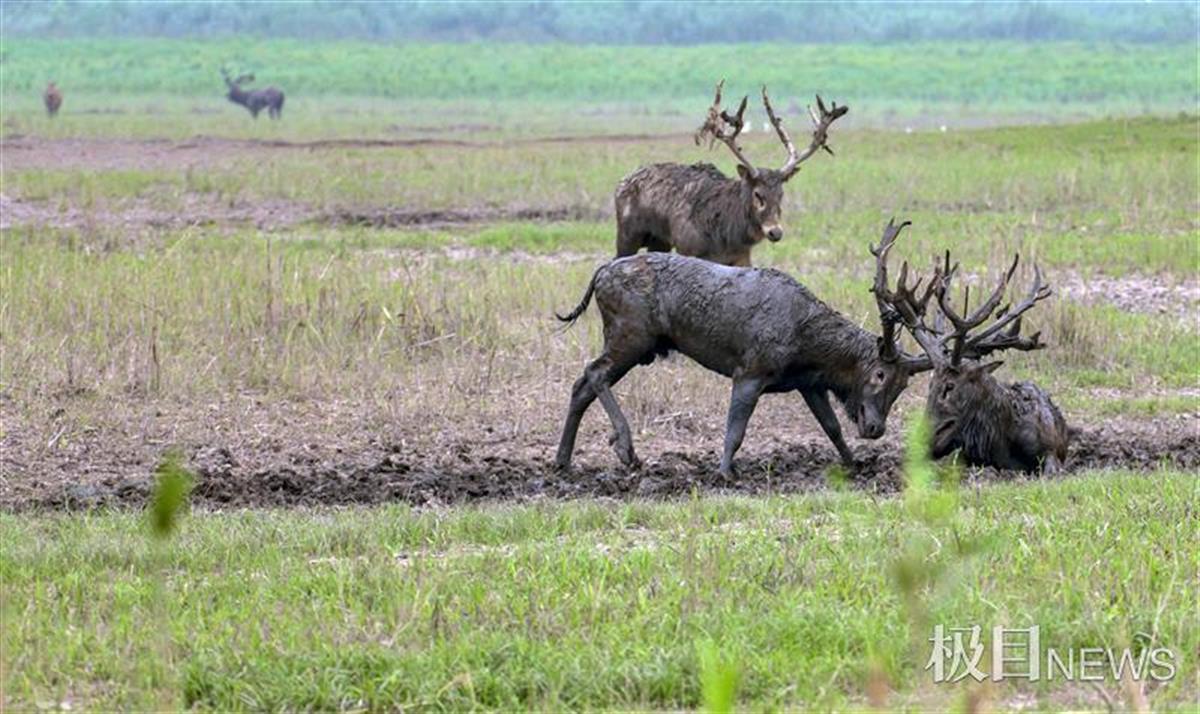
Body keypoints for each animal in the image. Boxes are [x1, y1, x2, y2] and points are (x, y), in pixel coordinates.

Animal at [552, 220, 936, 477]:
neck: (809, 348)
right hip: (631, 335)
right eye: (879, 374)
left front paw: (854, 464)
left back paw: (562, 461)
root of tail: (599, 274)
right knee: (593, 372)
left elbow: (832, 428)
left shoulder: (808, 383)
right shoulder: (751, 370)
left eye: (904, 385)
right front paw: (725, 472)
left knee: (581, 385)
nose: (875, 428)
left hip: (629, 340)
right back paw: (625, 448)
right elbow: (735, 430)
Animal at [614, 81, 849, 265]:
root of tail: (621, 183)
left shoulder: (741, 257)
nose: (775, 232)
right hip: (627, 234)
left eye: (781, 194)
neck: (727, 234)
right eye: (757, 194)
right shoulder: (689, 248)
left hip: (659, 241)